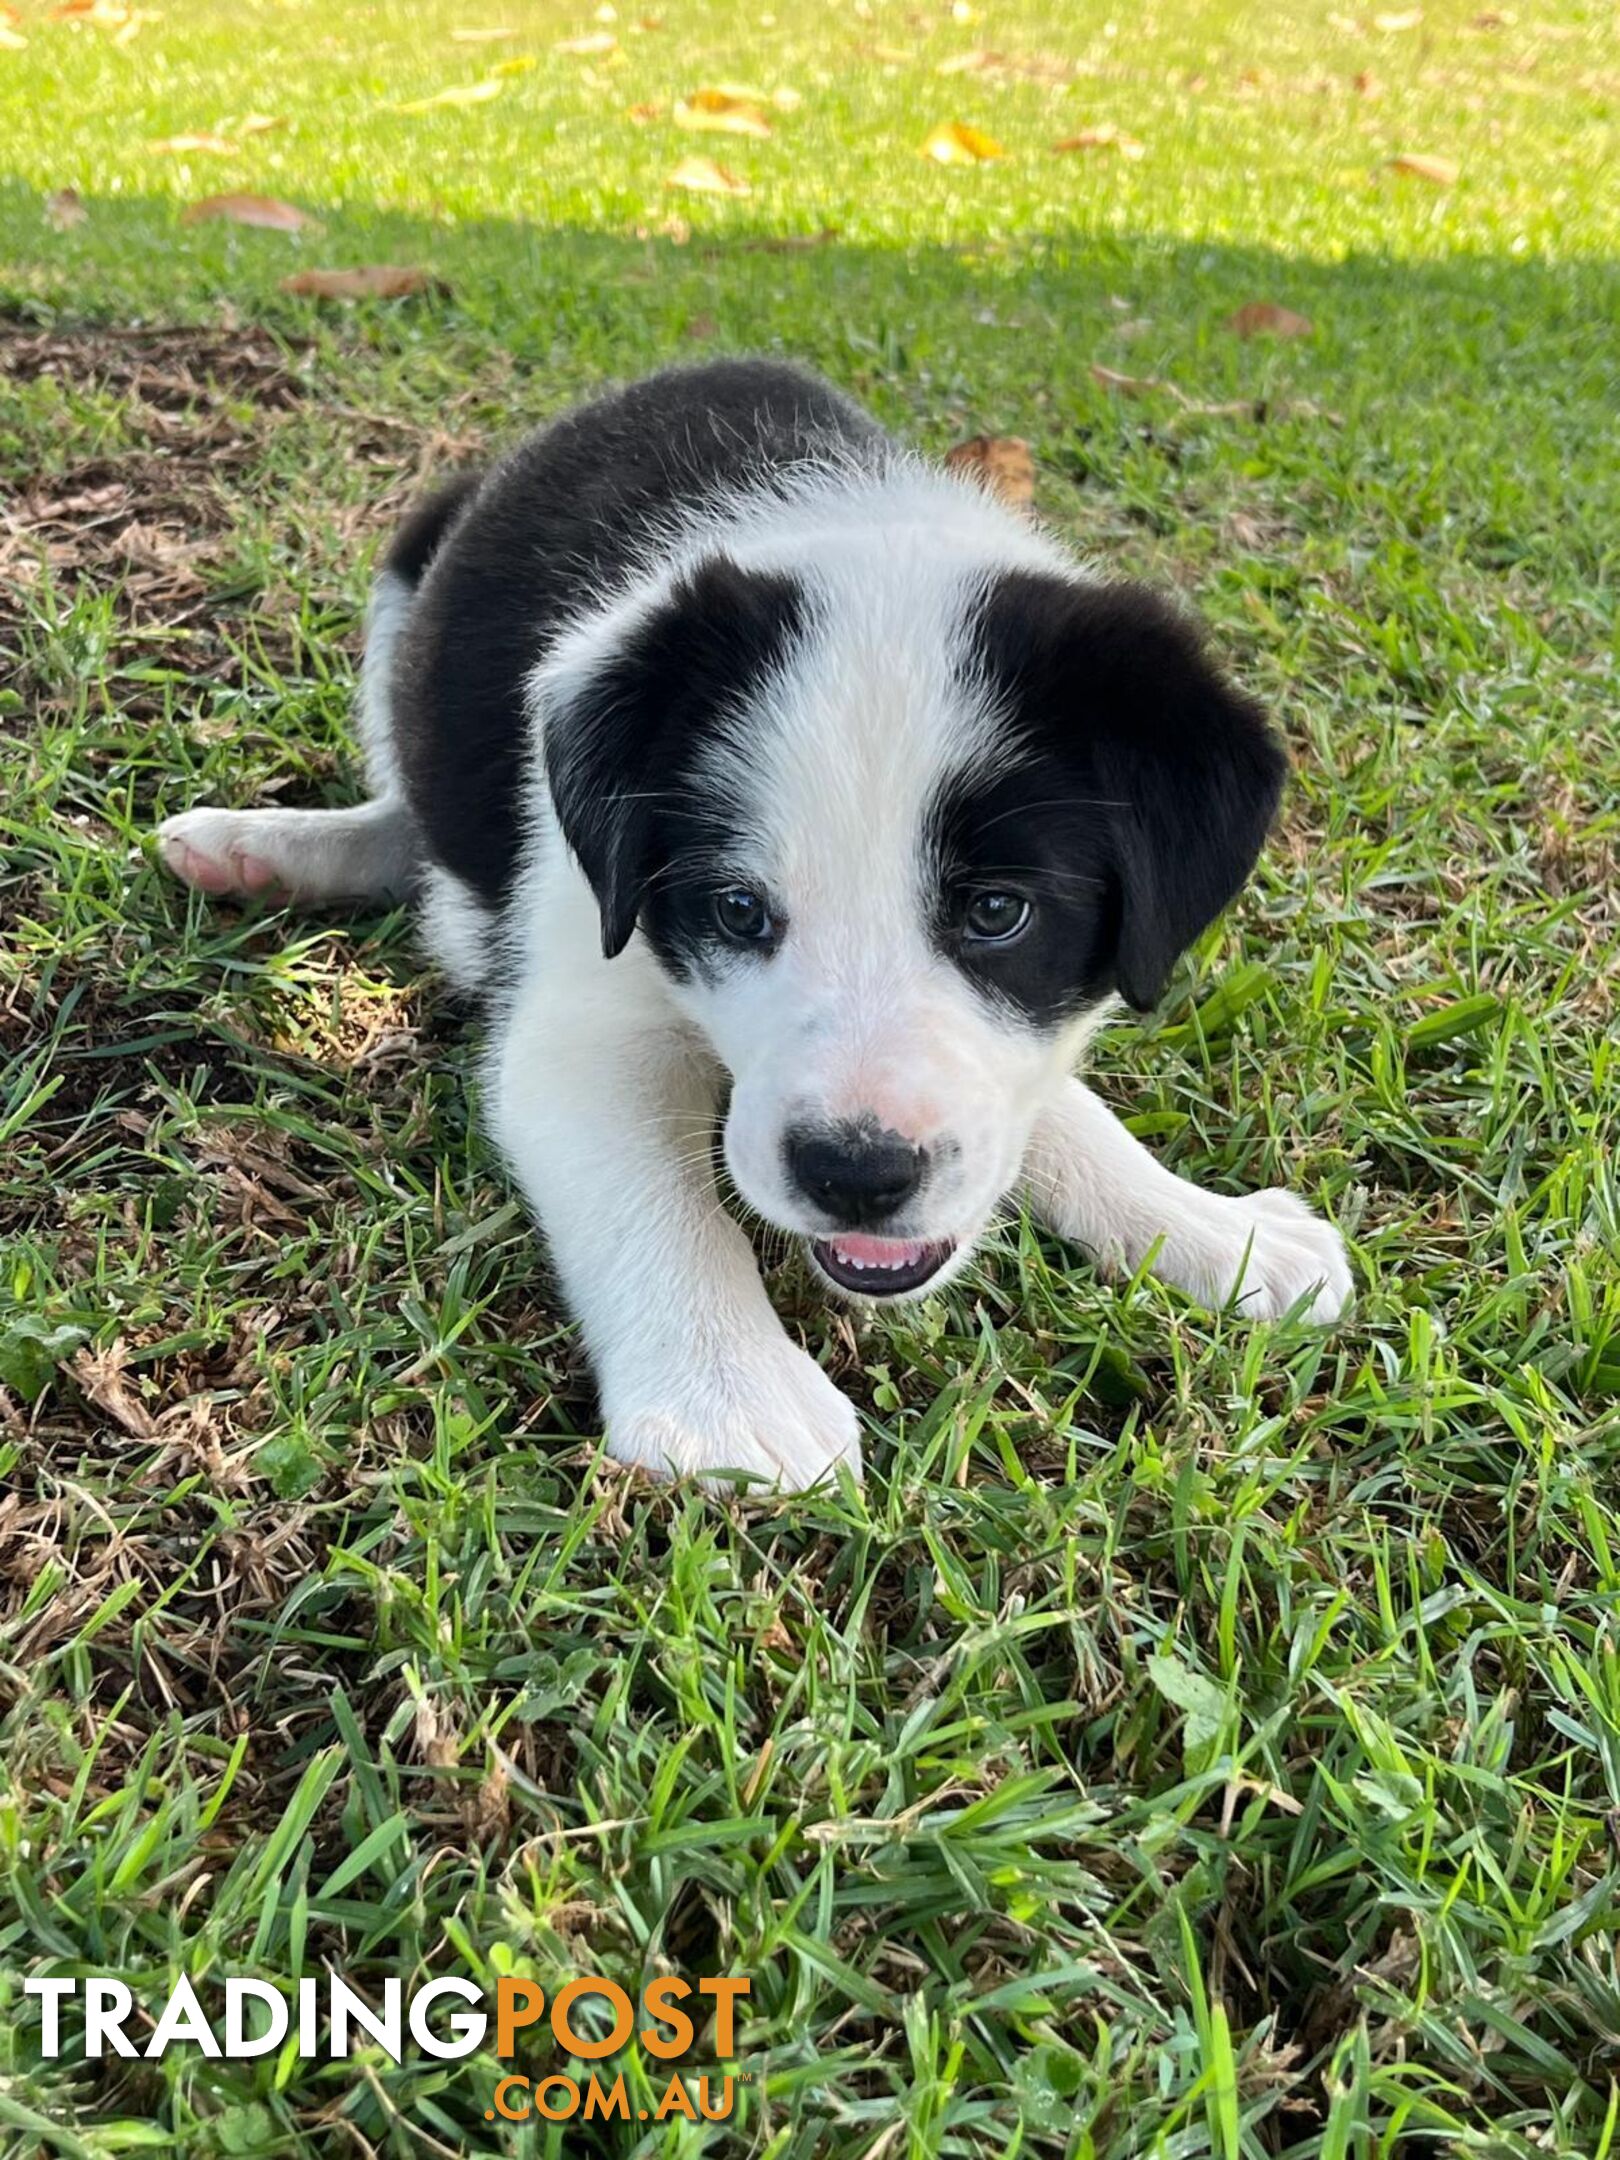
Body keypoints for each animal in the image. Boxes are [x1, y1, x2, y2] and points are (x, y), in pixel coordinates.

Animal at [162, 362, 1356, 1494]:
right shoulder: (581, 1018)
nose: (856, 1177)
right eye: (737, 910)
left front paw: (1214, 1230)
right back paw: (268, 849)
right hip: (407, 580)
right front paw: (728, 1396)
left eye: (998, 912)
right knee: (407, 816)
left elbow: (1055, 1105)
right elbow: (651, 1197)